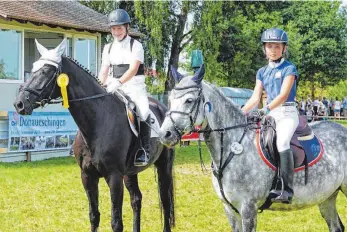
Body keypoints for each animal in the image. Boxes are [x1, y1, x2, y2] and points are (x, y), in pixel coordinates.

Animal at [13, 39, 175, 231]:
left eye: (46, 71)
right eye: (33, 68)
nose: (19, 104)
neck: (97, 121)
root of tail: (162, 107)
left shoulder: (114, 177)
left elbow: (116, 222)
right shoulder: (87, 176)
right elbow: (94, 216)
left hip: (163, 166)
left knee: (165, 201)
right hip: (130, 172)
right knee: (136, 199)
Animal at [160, 65, 347, 232]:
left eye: (189, 100)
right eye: (170, 100)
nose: (165, 134)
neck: (231, 148)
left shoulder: (248, 207)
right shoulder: (230, 209)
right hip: (326, 196)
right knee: (336, 226)